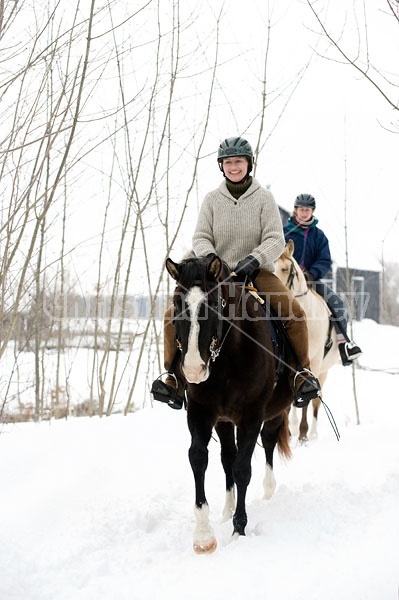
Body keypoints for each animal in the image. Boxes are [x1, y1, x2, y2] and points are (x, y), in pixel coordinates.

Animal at [166, 253, 294, 552]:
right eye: (177, 303)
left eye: (213, 304)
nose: (193, 370)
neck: (227, 359)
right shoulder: (201, 412)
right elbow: (199, 458)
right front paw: (204, 534)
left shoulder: (252, 416)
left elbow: (242, 469)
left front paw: (239, 530)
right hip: (224, 421)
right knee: (227, 458)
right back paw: (227, 510)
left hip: (276, 411)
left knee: (268, 442)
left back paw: (268, 490)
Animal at [276, 239, 340, 440]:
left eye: (286, 269)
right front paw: (289, 432)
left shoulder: (314, 362)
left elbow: (309, 397)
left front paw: (303, 435)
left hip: (324, 371)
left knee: (316, 402)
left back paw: (312, 433)